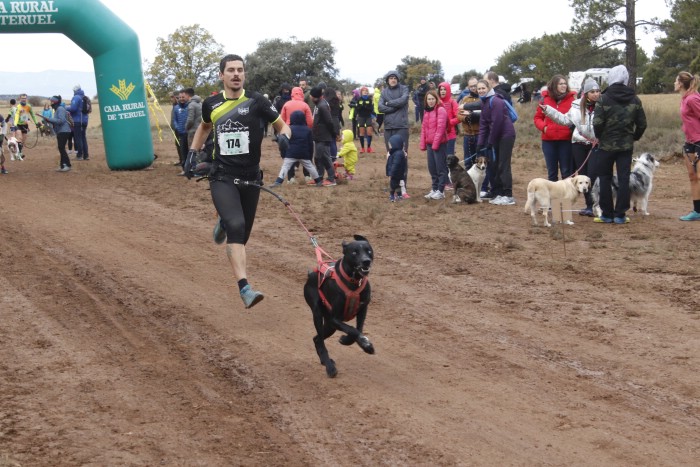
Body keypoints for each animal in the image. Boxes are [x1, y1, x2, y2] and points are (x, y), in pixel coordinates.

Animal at [304, 236, 374, 378]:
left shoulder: (363, 309)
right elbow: (353, 330)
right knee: (320, 340)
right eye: (354, 252)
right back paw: (329, 367)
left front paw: (350, 341)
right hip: (318, 314)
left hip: (330, 326)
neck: (354, 282)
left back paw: (325, 361)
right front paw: (366, 344)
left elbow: (358, 328)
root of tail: (310, 275)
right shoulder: (334, 319)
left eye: (369, 251)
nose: (366, 261)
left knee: (316, 338)